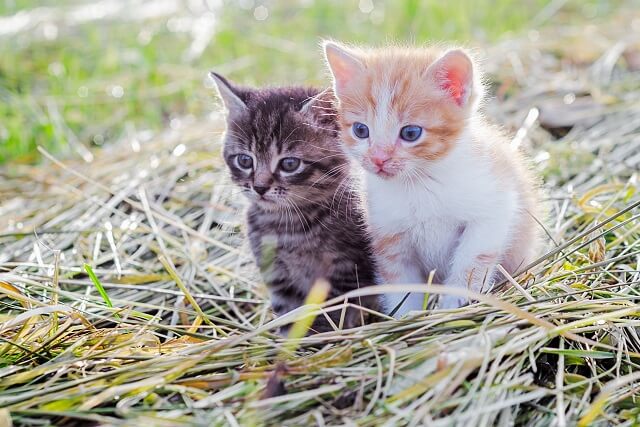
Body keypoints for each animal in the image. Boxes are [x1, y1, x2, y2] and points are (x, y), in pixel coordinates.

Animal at [210, 73, 380, 332]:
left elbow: (331, 311)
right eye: (245, 161)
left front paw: (322, 336)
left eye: (289, 164)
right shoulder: (278, 276)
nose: (259, 187)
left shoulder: (348, 269)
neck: (287, 223)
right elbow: (289, 314)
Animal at [322, 43, 544, 318]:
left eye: (410, 133)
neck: (419, 185)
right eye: (361, 130)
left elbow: (473, 257)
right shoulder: (389, 236)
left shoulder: (494, 206)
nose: (378, 159)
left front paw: (456, 301)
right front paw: (406, 317)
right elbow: (401, 283)